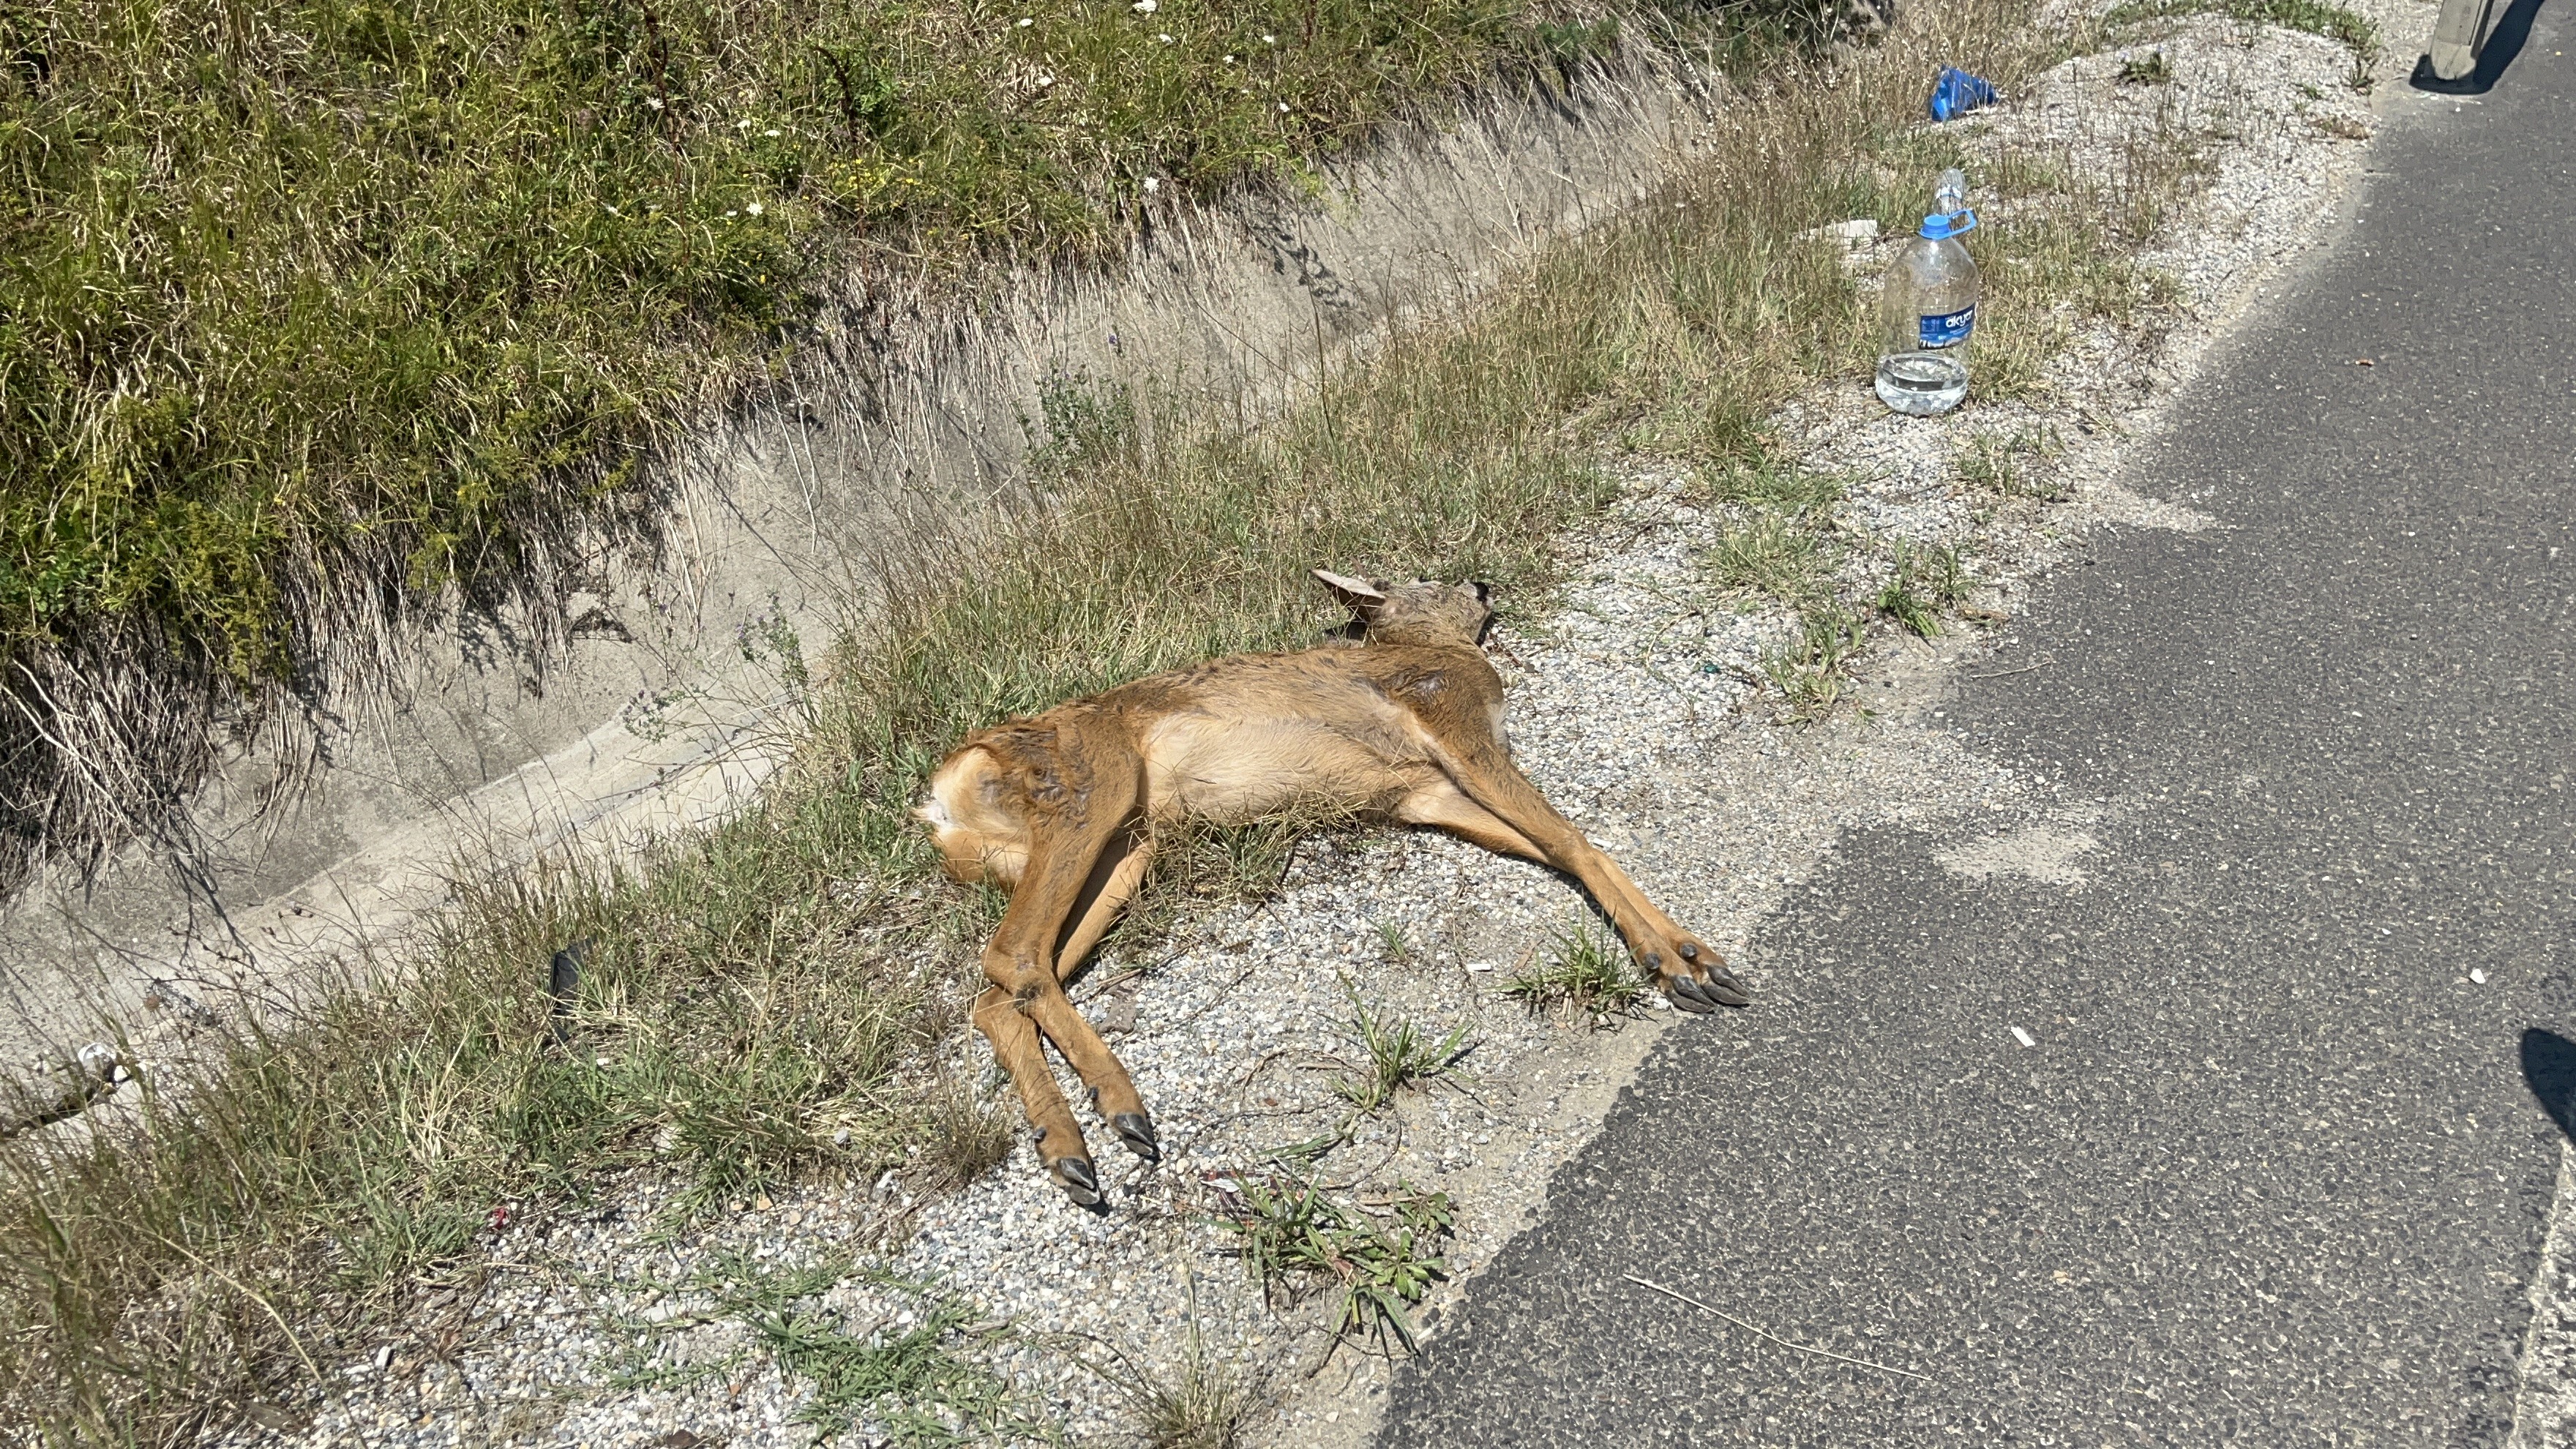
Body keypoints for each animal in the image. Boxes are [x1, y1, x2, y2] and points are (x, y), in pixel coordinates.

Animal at [912, 569, 1751, 1201]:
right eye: (1427, 577)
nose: (1484, 579)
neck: (1431, 647)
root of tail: (940, 802)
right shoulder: (1448, 713)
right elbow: (1574, 838)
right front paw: (1685, 961)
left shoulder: (1421, 793)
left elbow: (1559, 849)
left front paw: (1684, 958)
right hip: (1092, 779)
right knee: (1012, 957)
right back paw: (1120, 1110)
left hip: (1126, 849)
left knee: (1002, 989)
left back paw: (1068, 1146)